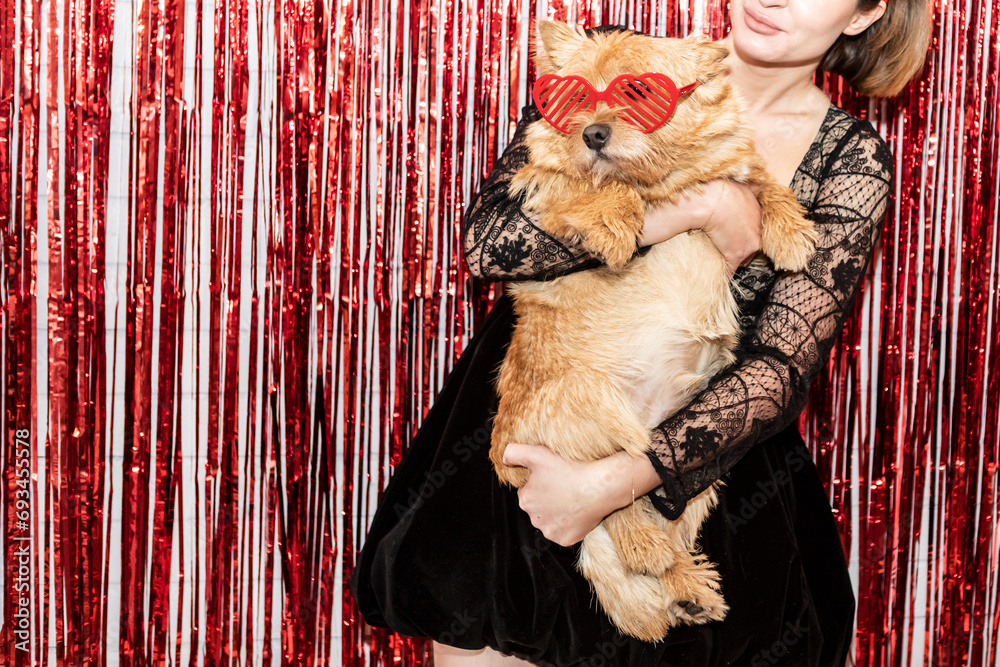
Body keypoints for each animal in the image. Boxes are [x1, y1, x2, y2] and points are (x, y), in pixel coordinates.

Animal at [488, 22, 816, 640]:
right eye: (576, 97)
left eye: (638, 91)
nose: (593, 133)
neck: (664, 177)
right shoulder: (542, 187)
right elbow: (593, 186)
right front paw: (616, 223)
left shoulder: (733, 169)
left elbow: (763, 182)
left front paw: (792, 233)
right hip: (590, 404)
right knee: (607, 501)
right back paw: (648, 551)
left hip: (699, 452)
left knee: (652, 504)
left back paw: (686, 587)